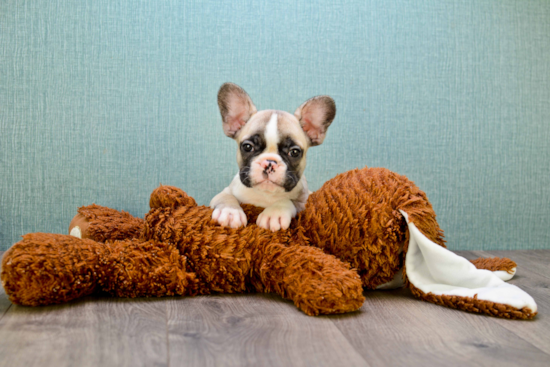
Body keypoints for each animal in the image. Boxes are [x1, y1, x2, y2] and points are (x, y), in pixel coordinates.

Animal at [211, 84, 336, 231]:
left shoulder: (305, 202)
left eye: (294, 152)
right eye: (247, 147)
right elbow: (226, 197)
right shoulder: (224, 192)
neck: (266, 194)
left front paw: (274, 214)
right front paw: (230, 212)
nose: (269, 162)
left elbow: (287, 201)